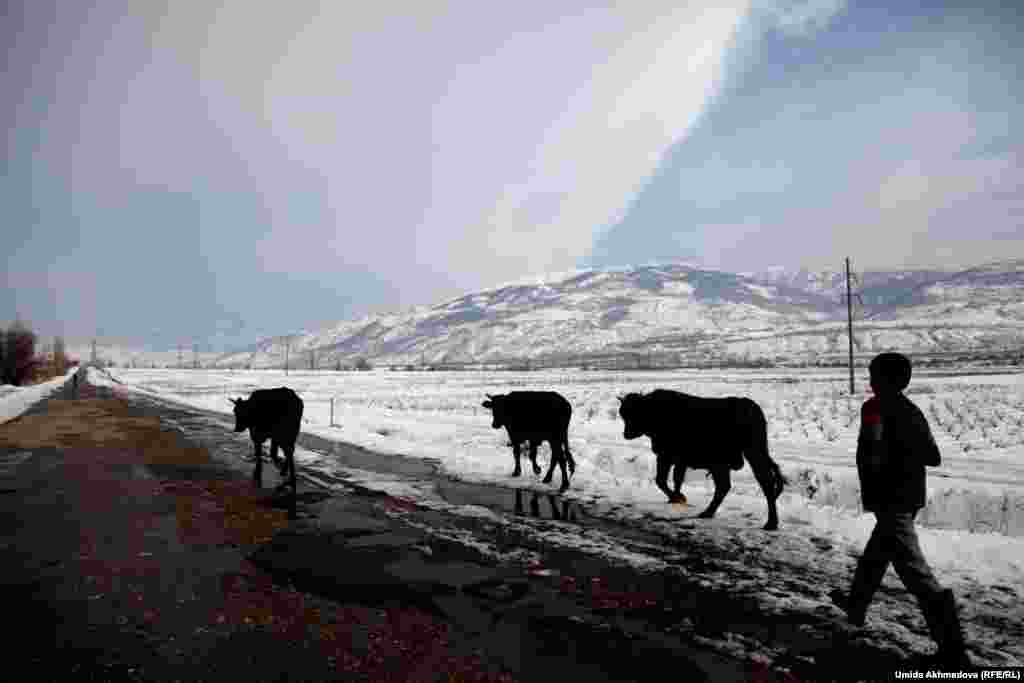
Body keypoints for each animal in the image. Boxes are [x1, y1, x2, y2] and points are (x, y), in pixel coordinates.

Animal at [614, 389, 782, 528]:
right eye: (623, 414)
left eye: (635, 413)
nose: (626, 434)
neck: (654, 409)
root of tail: (750, 407)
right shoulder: (679, 461)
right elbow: (676, 479)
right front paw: (676, 498)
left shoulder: (665, 457)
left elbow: (661, 480)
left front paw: (678, 498)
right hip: (725, 464)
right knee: (725, 486)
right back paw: (708, 513)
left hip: (750, 456)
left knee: (764, 483)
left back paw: (770, 523)